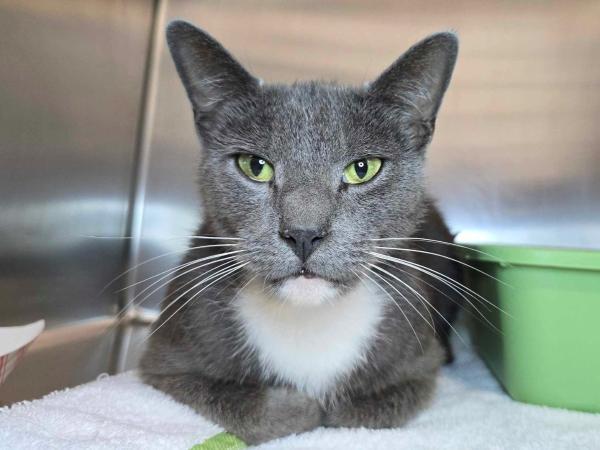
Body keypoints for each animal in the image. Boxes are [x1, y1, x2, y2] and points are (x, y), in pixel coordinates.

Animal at [141, 20, 460, 442]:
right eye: (254, 166)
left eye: (363, 169)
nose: (304, 233)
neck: (307, 317)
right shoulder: (165, 361)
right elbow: (241, 403)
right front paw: (300, 407)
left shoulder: (419, 366)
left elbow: (359, 411)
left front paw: (329, 407)